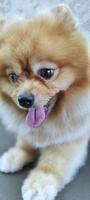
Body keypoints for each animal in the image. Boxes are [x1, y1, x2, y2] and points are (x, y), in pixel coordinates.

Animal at [0, 4, 89, 200]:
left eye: (46, 72)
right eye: (13, 77)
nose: (24, 99)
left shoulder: (71, 135)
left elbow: (53, 162)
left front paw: (40, 183)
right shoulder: (31, 130)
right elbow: (26, 140)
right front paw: (15, 155)